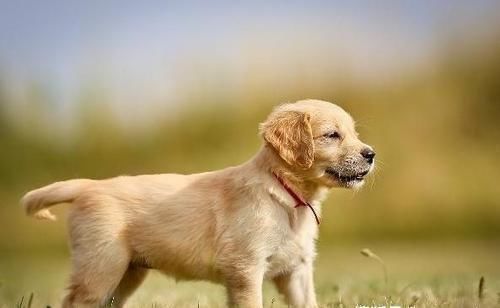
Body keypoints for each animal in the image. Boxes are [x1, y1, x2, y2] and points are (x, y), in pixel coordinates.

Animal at [22, 100, 376, 306]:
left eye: (353, 133)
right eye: (332, 135)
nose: (371, 154)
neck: (285, 193)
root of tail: (89, 186)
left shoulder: (297, 271)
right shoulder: (245, 269)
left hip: (126, 274)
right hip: (100, 266)